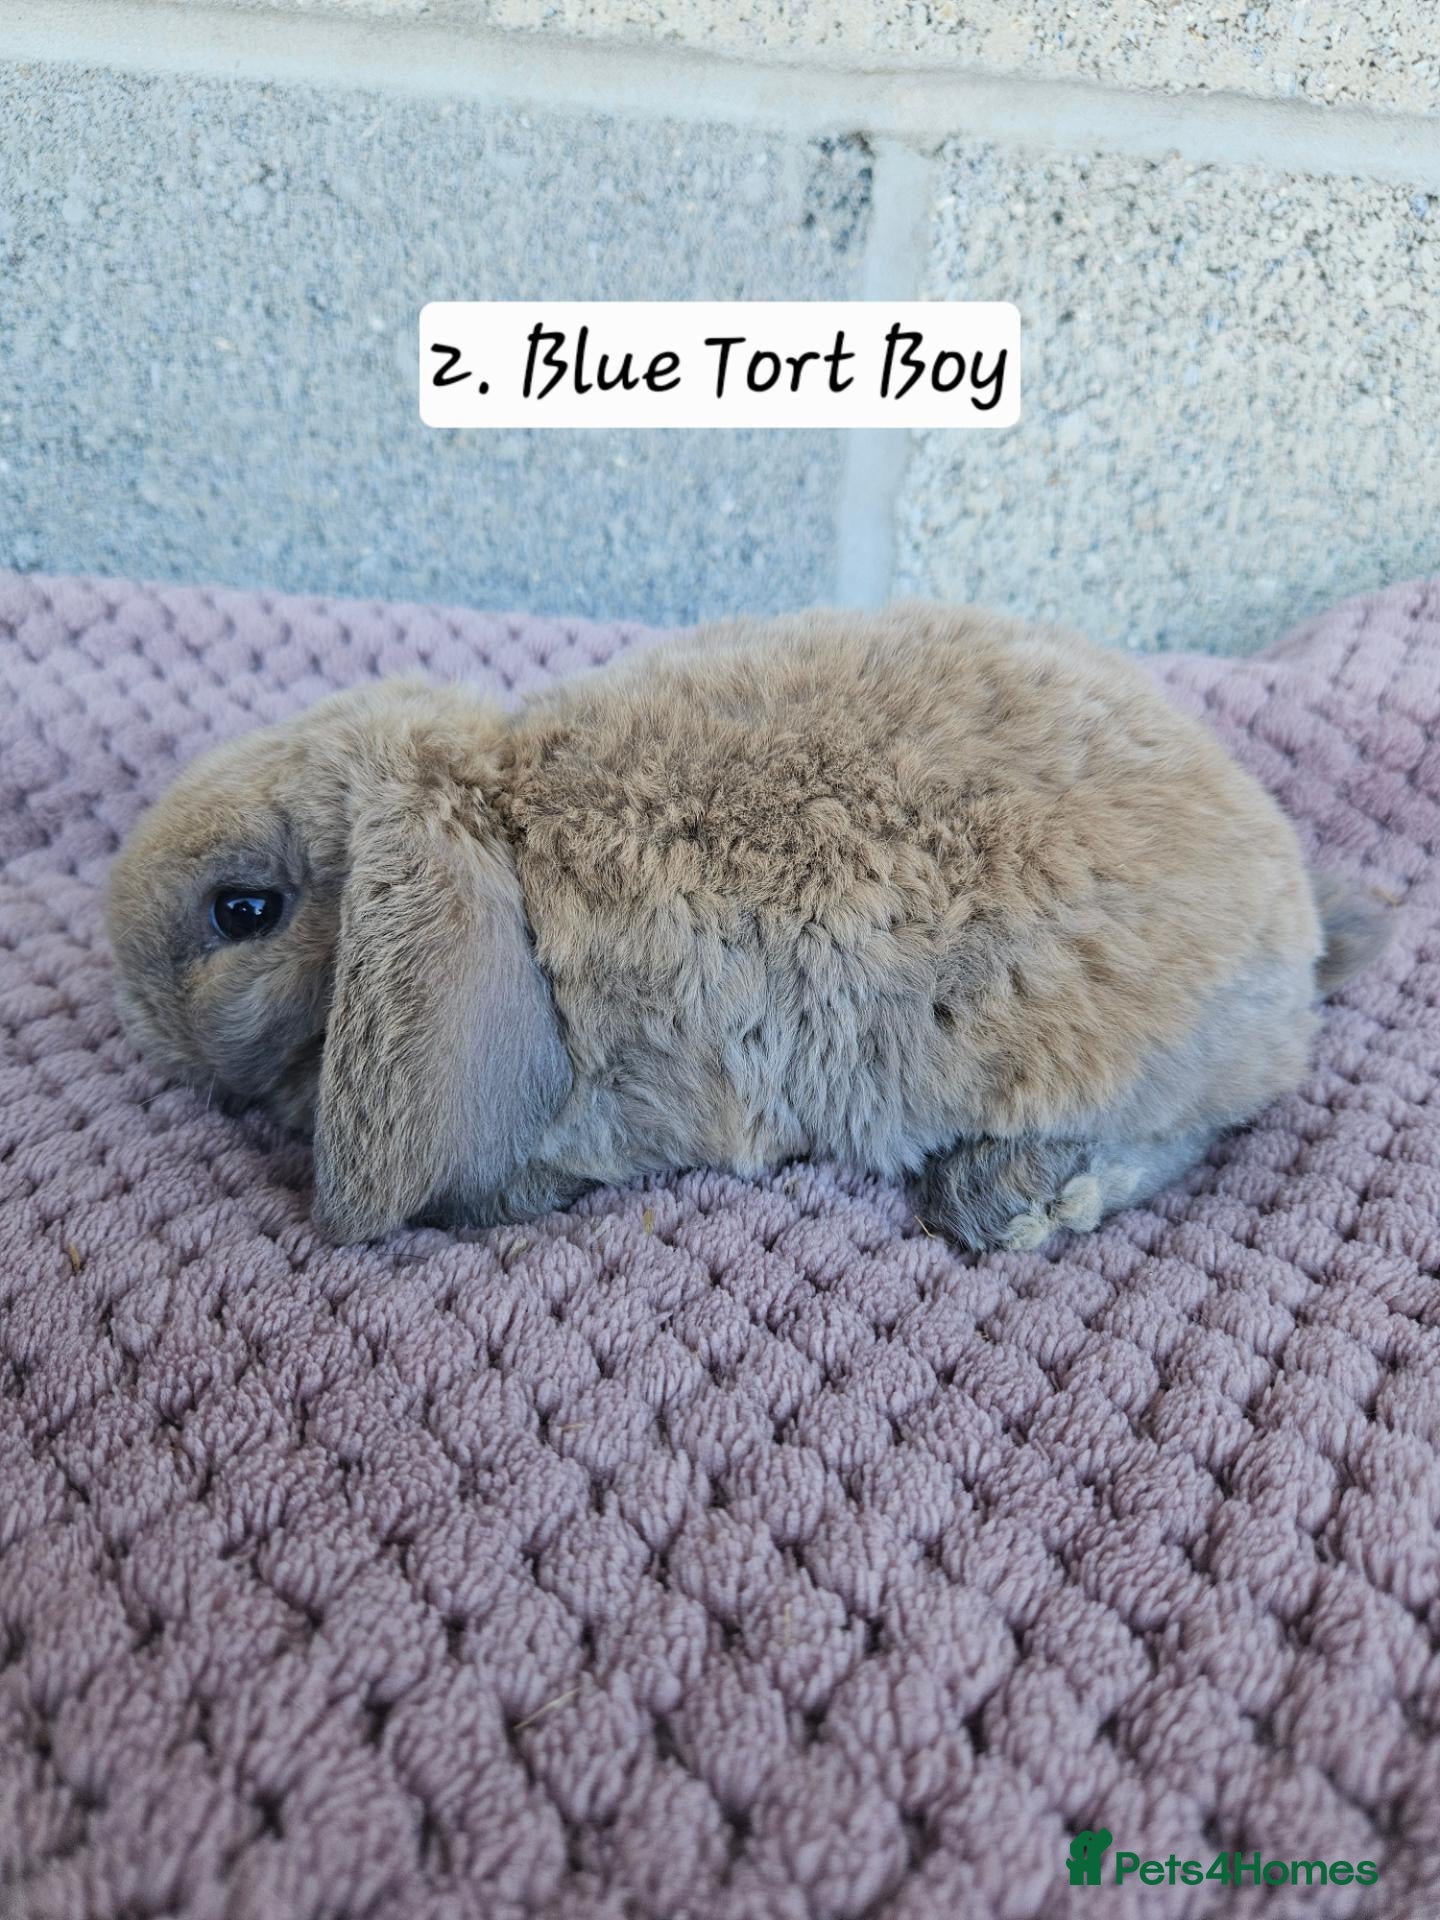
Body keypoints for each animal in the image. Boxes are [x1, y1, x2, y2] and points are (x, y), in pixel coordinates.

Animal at [105, 601, 1389, 1249]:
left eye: (242, 911)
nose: (138, 1006)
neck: (501, 835)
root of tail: (1293, 928)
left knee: (1188, 1132)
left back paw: (1012, 1198)